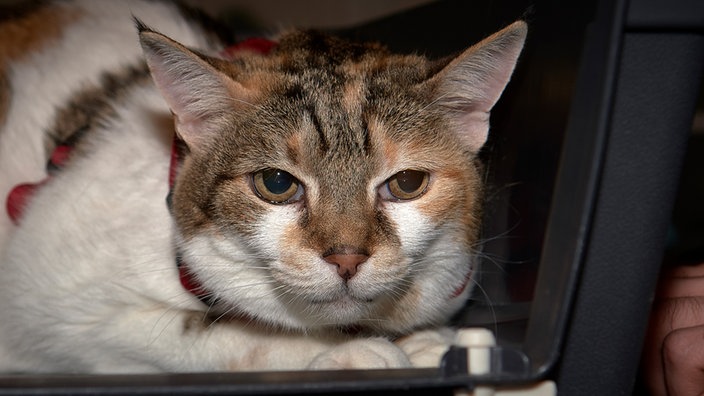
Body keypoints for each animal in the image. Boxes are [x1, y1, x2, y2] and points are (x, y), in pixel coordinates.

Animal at [0, 0, 524, 372]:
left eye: (408, 183)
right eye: (276, 183)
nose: (347, 258)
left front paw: (424, 343)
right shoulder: (54, 311)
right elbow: (213, 335)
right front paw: (350, 352)